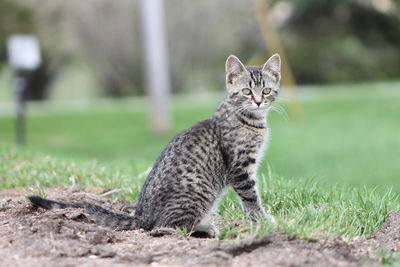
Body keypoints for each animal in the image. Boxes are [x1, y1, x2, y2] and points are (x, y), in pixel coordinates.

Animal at [28, 54, 282, 239]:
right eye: (246, 91)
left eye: (266, 90)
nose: (258, 101)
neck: (250, 120)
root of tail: (142, 215)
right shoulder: (240, 168)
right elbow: (251, 197)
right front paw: (261, 219)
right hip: (197, 194)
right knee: (167, 227)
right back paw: (204, 229)